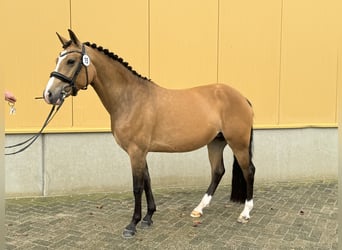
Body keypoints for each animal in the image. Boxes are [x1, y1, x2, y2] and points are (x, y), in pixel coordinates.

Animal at [42, 30, 255, 237]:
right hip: (216, 142)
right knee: (218, 171)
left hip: (238, 143)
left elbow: (137, 187)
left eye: (71, 61)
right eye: (57, 59)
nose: (49, 94)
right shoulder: (141, 151)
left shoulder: (136, 151)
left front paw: (132, 225)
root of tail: (242, 97)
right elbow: (147, 182)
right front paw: (148, 218)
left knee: (249, 171)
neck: (131, 98)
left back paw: (245, 213)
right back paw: (199, 209)